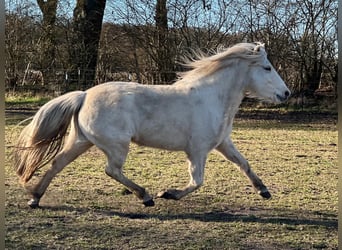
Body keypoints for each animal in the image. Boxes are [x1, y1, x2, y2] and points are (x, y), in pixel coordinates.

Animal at [14, 42, 292, 207]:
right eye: (267, 68)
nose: (286, 93)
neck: (212, 98)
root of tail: (84, 95)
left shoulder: (223, 143)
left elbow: (243, 163)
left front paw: (263, 190)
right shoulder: (197, 150)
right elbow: (197, 181)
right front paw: (167, 193)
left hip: (81, 141)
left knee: (57, 163)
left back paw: (35, 198)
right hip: (116, 146)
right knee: (111, 170)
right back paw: (145, 196)